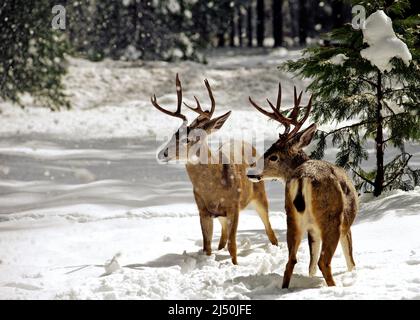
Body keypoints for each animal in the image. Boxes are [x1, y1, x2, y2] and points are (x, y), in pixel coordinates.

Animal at [151, 75, 278, 264]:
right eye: (175, 134)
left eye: (191, 139)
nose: (162, 153)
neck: (214, 187)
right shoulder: (203, 209)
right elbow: (207, 247)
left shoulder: (234, 205)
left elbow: (233, 246)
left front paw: (235, 265)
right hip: (221, 215)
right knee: (222, 238)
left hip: (260, 195)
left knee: (269, 230)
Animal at [248, 84, 360, 288]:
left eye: (272, 156)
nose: (250, 171)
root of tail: (303, 177)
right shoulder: (346, 224)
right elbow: (350, 261)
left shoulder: (312, 230)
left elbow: (310, 265)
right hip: (332, 218)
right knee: (324, 261)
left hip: (292, 218)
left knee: (291, 261)